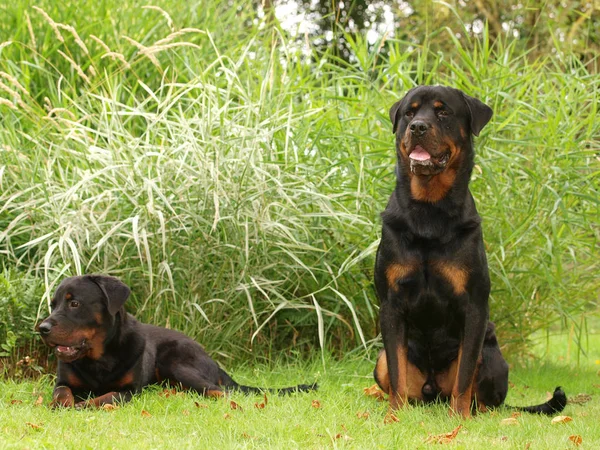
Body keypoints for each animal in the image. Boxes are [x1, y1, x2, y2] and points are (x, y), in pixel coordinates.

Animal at [38, 274, 316, 408]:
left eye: (74, 303)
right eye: (53, 305)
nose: (42, 328)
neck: (99, 358)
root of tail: (211, 358)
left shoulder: (129, 390)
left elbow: (106, 397)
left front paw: (83, 405)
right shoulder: (63, 381)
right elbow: (61, 393)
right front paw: (64, 404)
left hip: (177, 363)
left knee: (219, 391)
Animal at [372, 87, 564, 418]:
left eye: (443, 112)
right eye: (409, 113)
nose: (417, 127)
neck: (429, 212)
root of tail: (433, 390)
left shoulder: (474, 306)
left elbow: (464, 377)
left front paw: (457, 418)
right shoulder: (391, 305)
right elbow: (397, 372)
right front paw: (394, 416)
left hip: (492, 357)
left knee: (483, 395)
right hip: (380, 360)